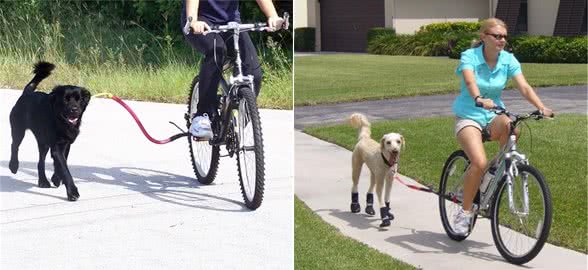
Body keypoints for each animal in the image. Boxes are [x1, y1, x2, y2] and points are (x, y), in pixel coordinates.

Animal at [8, 61, 90, 200]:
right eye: (65, 99)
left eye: (79, 99)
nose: (74, 109)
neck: (60, 121)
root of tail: (26, 93)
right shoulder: (56, 146)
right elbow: (64, 168)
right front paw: (73, 192)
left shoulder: (65, 144)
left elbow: (61, 163)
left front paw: (56, 179)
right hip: (18, 128)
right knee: (14, 145)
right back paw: (13, 166)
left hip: (43, 142)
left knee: (40, 162)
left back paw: (43, 181)